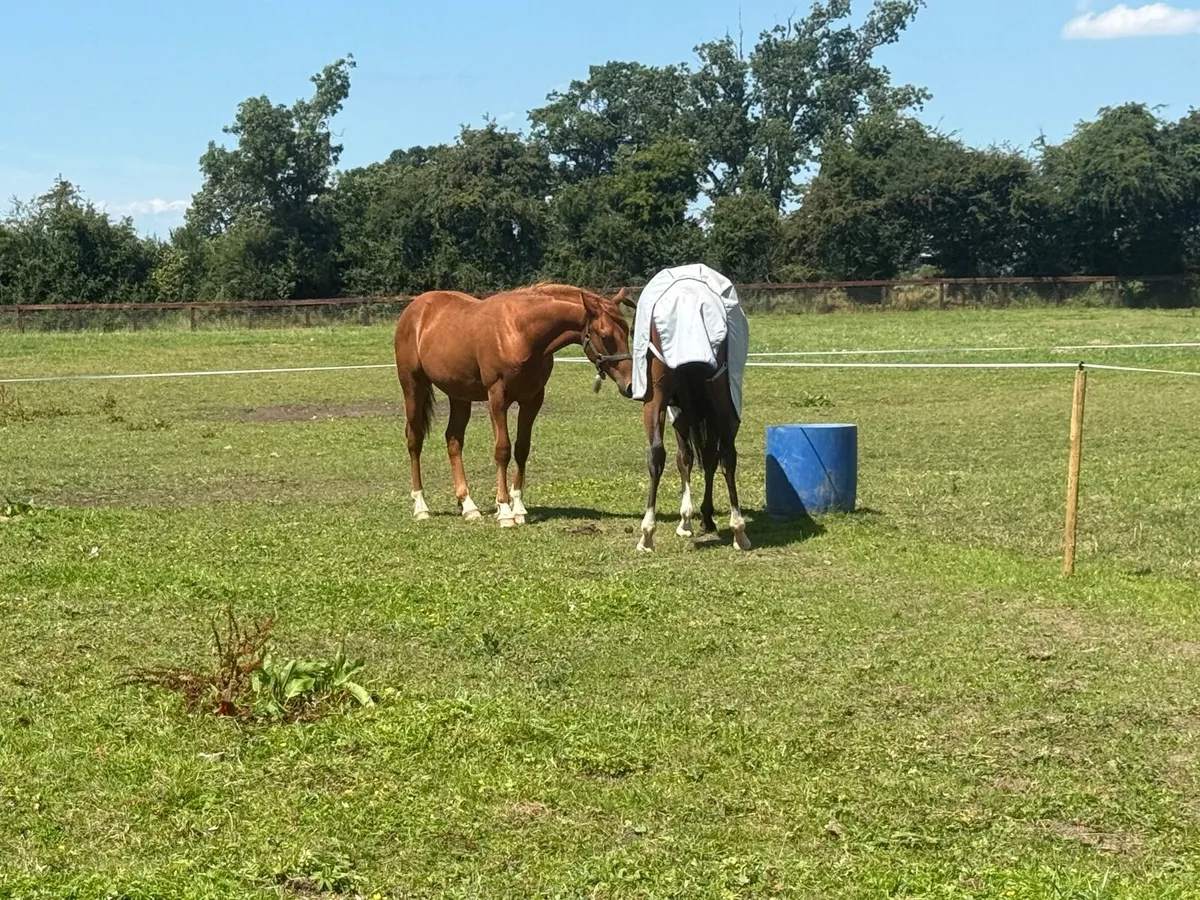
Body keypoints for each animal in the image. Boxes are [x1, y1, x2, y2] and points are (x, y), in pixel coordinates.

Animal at [393, 284, 634, 527]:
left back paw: (468, 506)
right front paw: (504, 510)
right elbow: (503, 450)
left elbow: (521, 449)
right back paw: (421, 506)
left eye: (628, 332)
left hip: (459, 396)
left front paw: (518, 507)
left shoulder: (532, 400)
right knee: (414, 440)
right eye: (606, 336)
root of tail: (415, 309)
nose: (630, 385)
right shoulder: (497, 397)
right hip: (413, 387)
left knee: (453, 440)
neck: (520, 332)